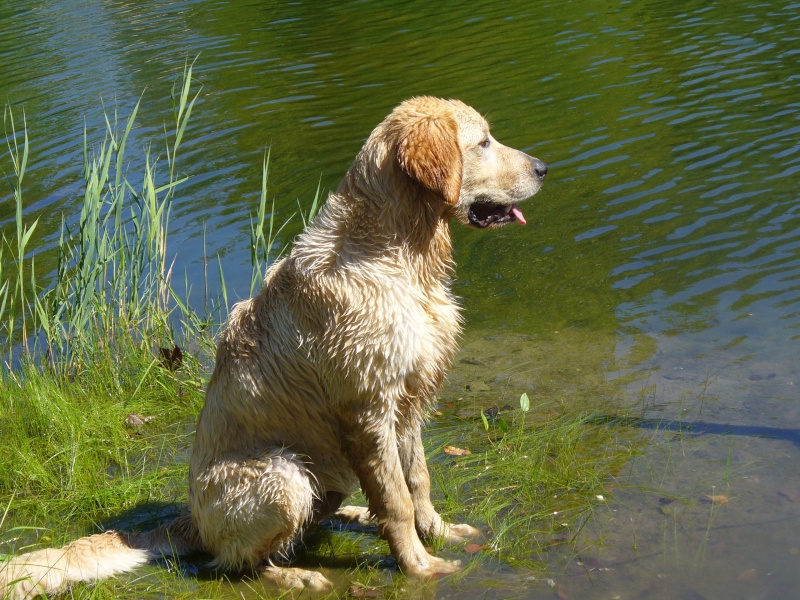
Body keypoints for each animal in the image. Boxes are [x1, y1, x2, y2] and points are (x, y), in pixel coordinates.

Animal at [0, 96, 548, 596]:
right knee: (235, 562)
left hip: (323, 475)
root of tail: (191, 520)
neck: (397, 254)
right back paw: (296, 574)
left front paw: (439, 533)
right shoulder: (368, 409)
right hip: (283, 474)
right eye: (483, 142)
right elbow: (396, 500)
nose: (544, 168)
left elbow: (417, 482)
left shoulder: (409, 399)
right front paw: (419, 565)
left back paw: (355, 516)